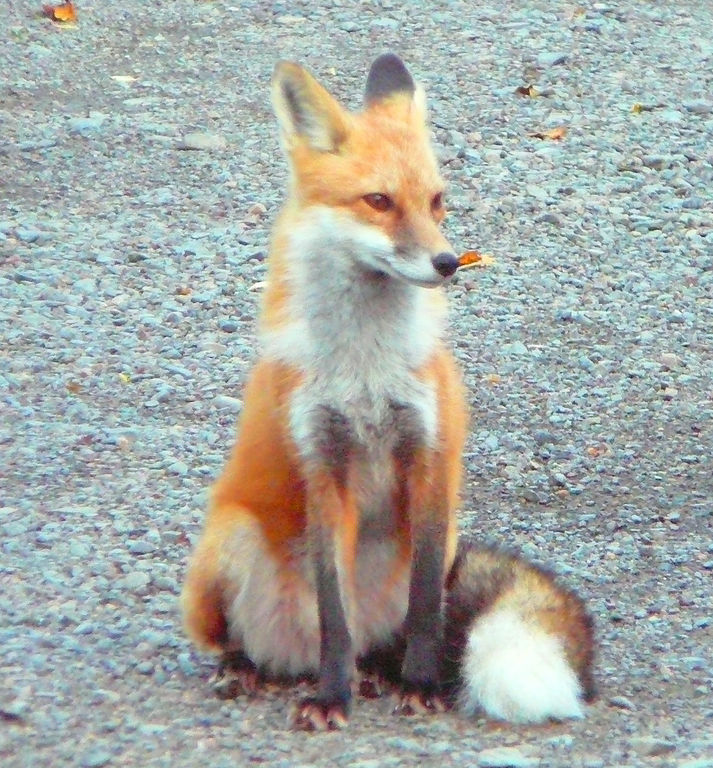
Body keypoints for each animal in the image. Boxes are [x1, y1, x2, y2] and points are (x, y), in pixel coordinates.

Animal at [181, 53, 595, 730]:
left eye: (436, 201)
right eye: (378, 202)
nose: (449, 262)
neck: (365, 371)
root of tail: (289, 657)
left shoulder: (430, 462)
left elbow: (425, 605)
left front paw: (420, 685)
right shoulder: (325, 465)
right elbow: (334, 614)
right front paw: (332, 696)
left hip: (432, 550)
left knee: (389, 634)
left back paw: (380, 673)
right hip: (225, 544)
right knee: (254, 642)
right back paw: (254, 669)